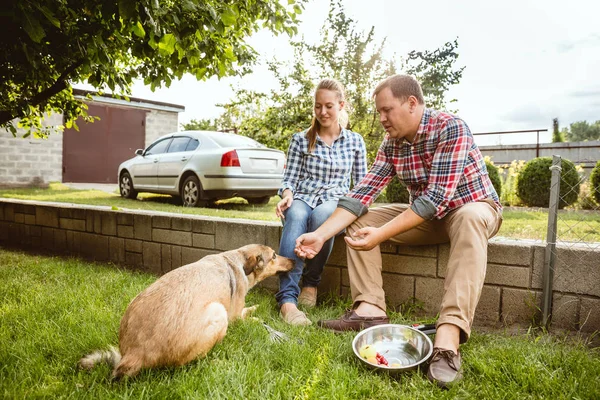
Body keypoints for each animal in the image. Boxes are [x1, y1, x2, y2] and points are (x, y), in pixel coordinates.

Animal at [78, 244, 294, 378]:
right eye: (274, 256)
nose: (293, 260)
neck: (239, 260)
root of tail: (135, 353)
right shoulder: (235, 315)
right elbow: (248, 313)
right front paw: (257, 312)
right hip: (219, 313)